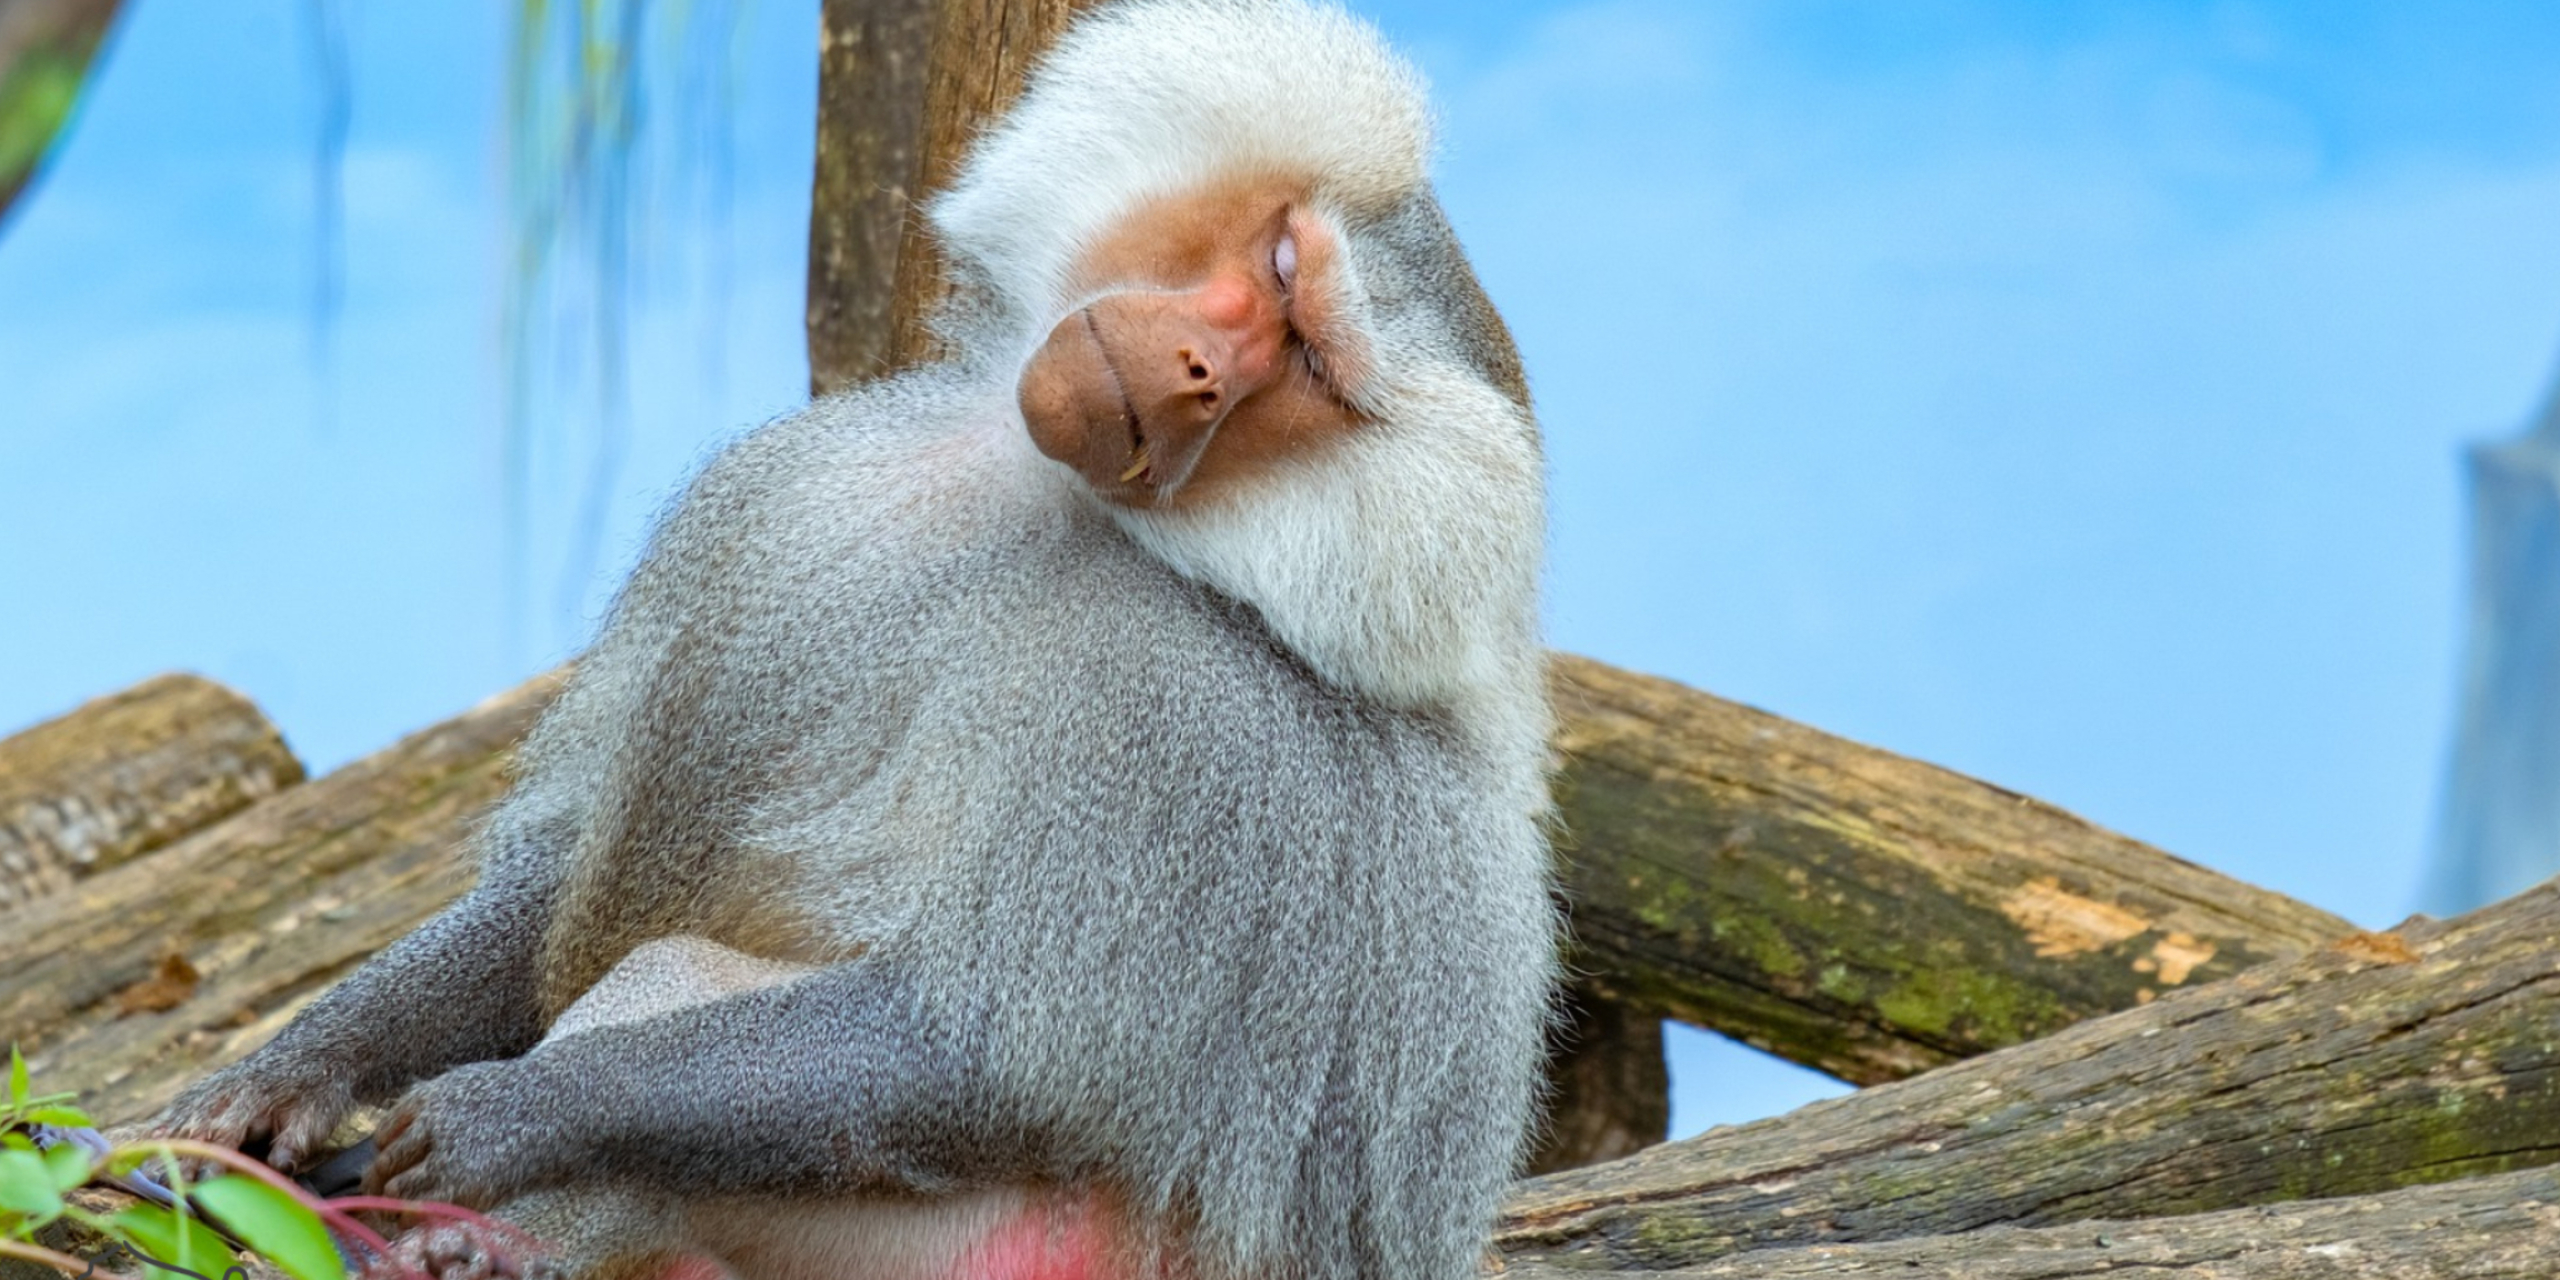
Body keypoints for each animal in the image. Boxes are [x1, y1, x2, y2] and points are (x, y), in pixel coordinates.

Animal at [165, 2, 1556, 1280]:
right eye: (1276, 268)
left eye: (1310, 364)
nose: (1204, 371)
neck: (1049, 507)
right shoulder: (779, 511)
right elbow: (560, 864)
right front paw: (291, 1070)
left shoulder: (1186, 737)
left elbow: (987, 1049)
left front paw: (502, 1112)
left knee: (685, 994)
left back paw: (471, 1247)